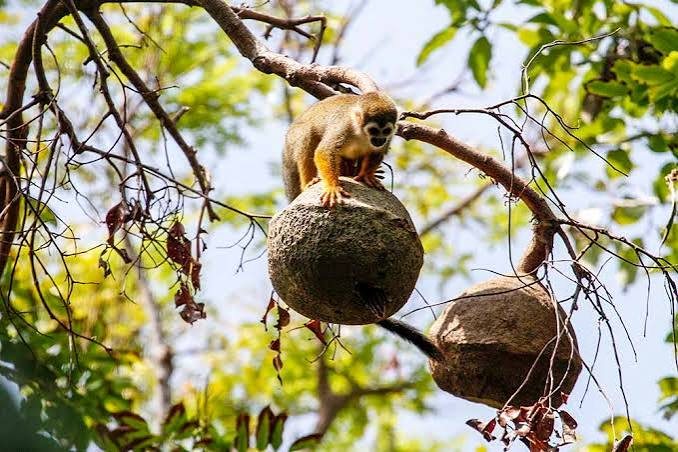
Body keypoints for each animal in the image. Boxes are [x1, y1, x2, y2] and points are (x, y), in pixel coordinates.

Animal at [281, 91, 445, 362]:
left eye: (386, 130)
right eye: (374, 129)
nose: (379, 139)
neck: (360, 133)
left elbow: (378, 154)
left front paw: (367, 175)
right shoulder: (342, 129)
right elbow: (324, 152)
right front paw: (332, 186)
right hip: (292, 148)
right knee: (307, 139)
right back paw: (311, 182)